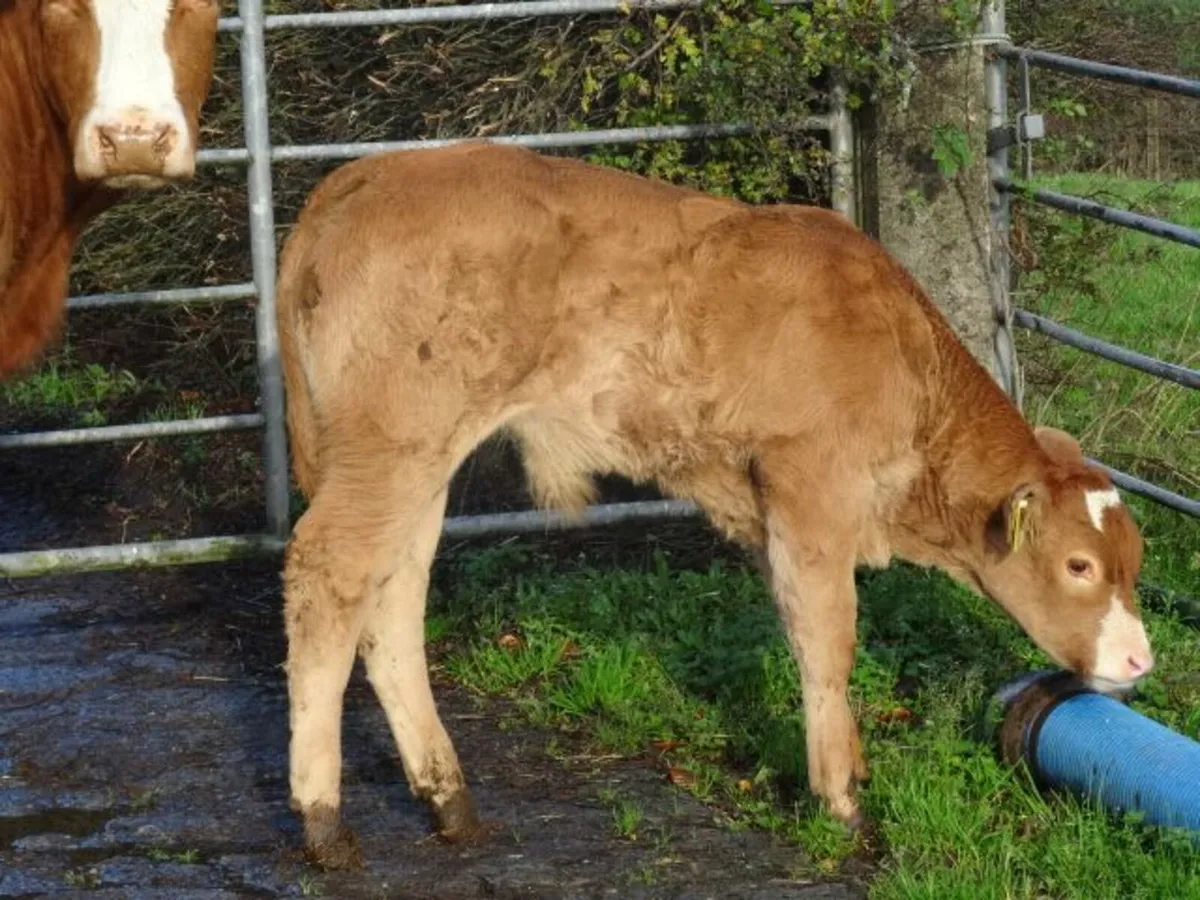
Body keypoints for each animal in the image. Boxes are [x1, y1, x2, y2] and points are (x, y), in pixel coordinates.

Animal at [274, 142, 1154, 869]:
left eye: (1133, 563)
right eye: (1079, 565)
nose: (1140, 661)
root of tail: (367, 176)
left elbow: (802, 630)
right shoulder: (812, 492)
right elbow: (829, 641)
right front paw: (841, 804)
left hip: (418, 462)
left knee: (393, 597)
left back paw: (447, 798)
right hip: (393, 443)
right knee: (330, 575)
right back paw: (323, 820)